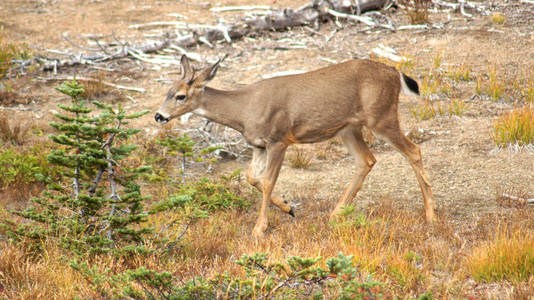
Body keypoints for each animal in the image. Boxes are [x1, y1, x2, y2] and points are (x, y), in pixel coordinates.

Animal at [154, 55, 436, 239]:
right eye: (167, 91)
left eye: (180, 96)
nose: (158, 116)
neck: (243, 110)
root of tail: (395, 73)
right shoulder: (258, 145)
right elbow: (251, 178)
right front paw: (288, 208)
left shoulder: (279, 140)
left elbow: (268, 181)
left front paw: (260, 228)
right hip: (348, 128)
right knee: (366, 160)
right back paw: (336, 214)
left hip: (381, 117)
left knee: (413, 150)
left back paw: (431, 215)